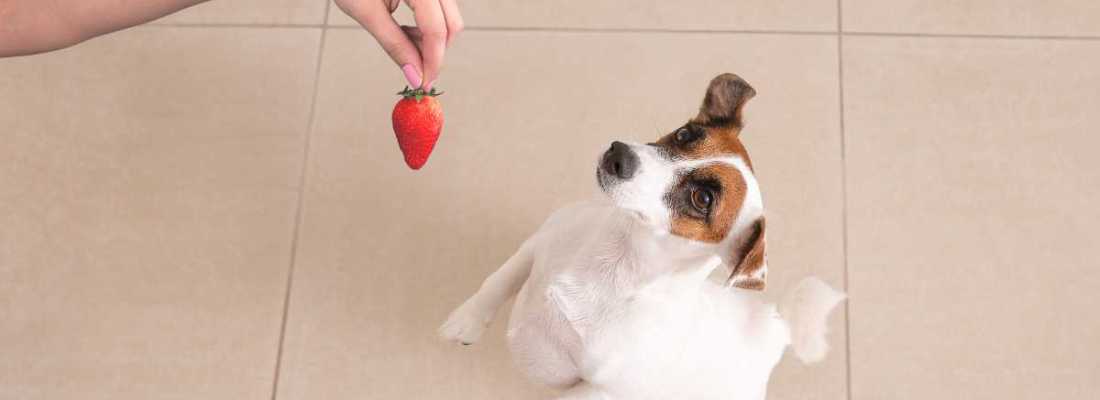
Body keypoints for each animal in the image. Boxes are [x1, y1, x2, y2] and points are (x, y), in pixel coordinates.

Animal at [437, 74, 840, 400]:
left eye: (702, 199)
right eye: (685, 134)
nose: (620, 153)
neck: (618, 257)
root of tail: (777, 324)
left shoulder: (598, 391)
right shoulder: (541, 239)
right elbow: (498, 281)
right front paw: (464, 321)